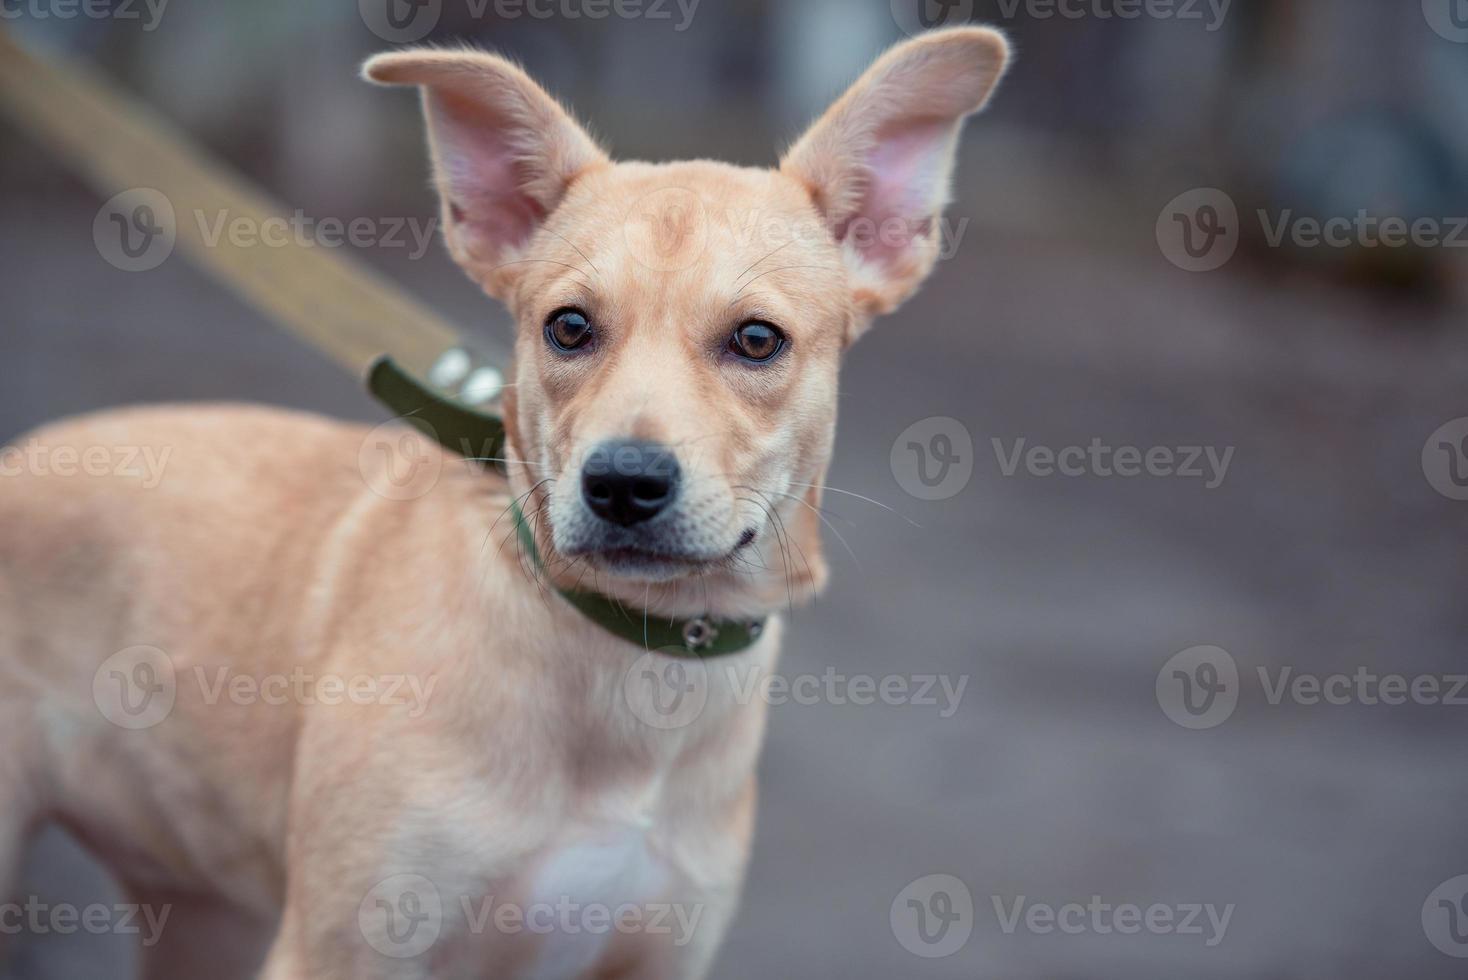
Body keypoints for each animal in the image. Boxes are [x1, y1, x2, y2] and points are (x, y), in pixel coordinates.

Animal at [0, 28, 1009, 979]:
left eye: (757, 340)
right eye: (569, 327)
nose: (623, 484)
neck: (635, 668)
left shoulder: (661, 956)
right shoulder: (340, 947)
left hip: (202, 913)